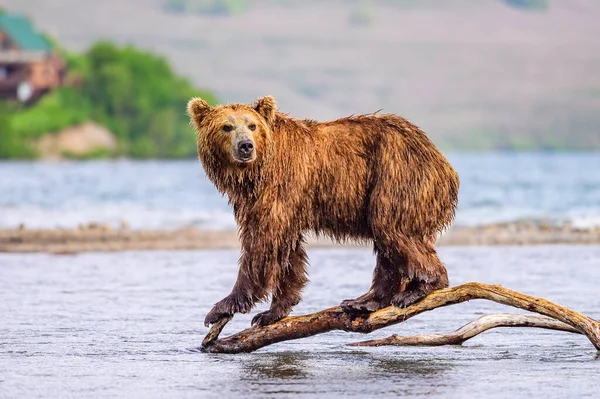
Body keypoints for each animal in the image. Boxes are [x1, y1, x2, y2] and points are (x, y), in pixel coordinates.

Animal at [188, 96, 460, 328]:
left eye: (252, 125)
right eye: (226, 127)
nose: (245, 146)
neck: (255, 172)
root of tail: (444, 164)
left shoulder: (280, 185)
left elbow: (263, 242)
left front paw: (222, 307)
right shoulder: (271, 200)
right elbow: (288, 250)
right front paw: (272, 312)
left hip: (397, 175)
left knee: (394, 230)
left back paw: (419, 289)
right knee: (387, 245)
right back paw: (364, 301)